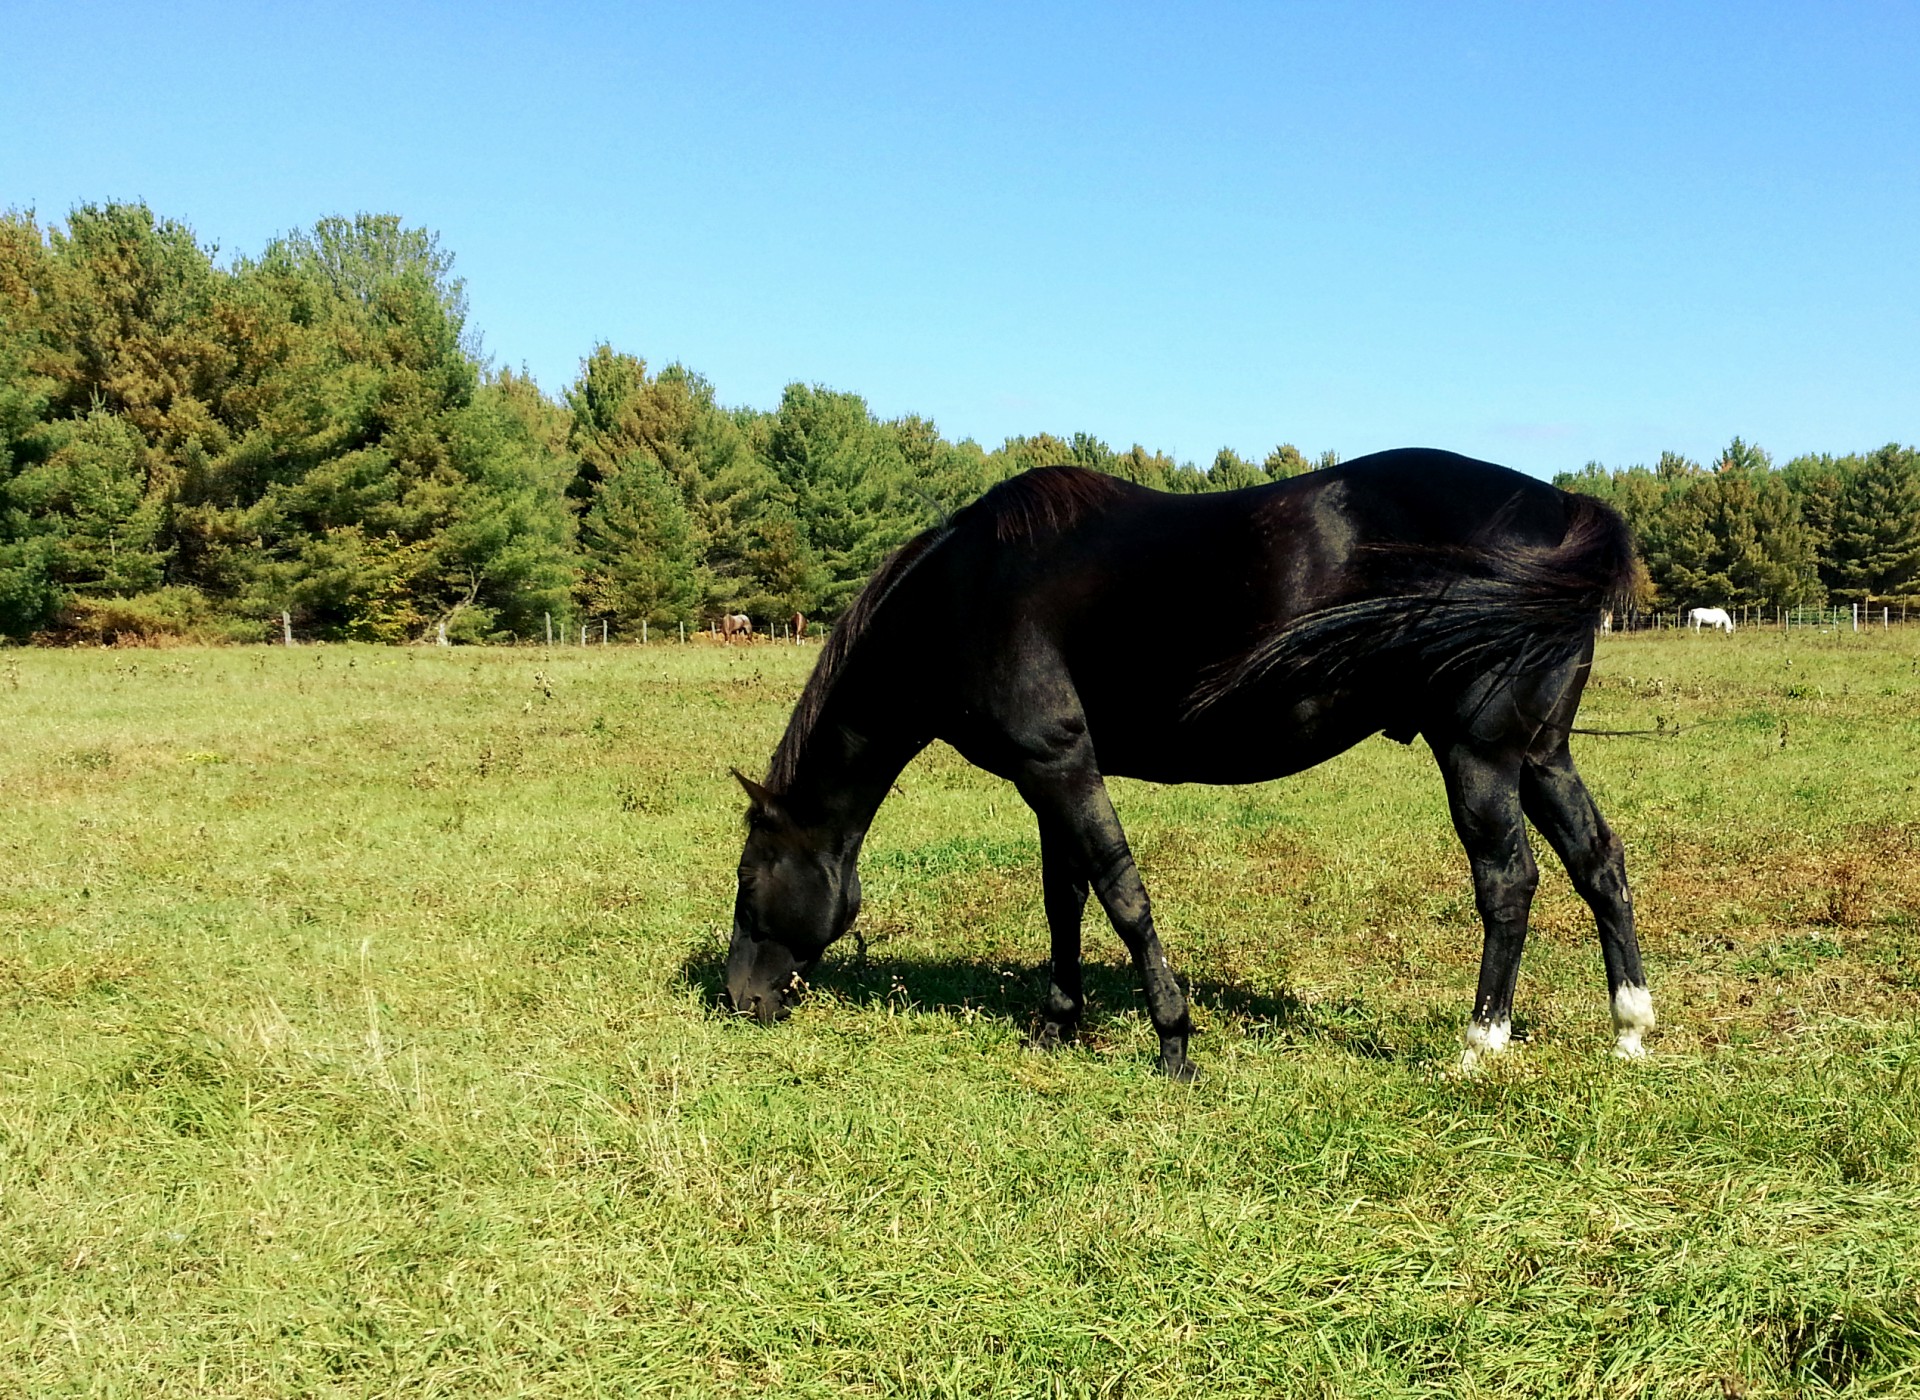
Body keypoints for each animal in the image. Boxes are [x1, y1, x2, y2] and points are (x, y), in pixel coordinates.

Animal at [721, 447, 1651, 1067]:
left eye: (747, 879)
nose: (737, 999)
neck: (967, 594)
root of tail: (1569, 506)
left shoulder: (1061, 765)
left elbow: (1121, 896)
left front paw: (1173, 1037)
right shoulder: (1044, 778)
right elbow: (1065, 901)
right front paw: (1058, 1023)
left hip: (1479, 755)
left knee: (1508, 882)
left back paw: (1479, 1045)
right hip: (1541, 756)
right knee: (1598, 863)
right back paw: (1630, 1031)